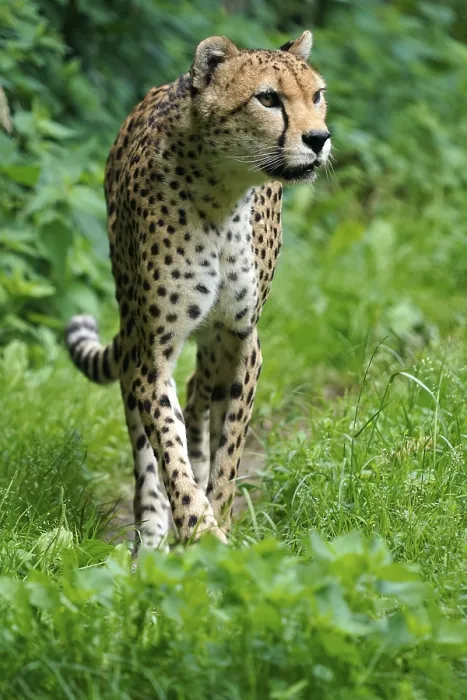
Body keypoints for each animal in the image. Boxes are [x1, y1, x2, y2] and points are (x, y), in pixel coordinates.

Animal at [65, 30, 331, 553]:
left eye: (316, 96)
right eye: (268, 98)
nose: (319, 139)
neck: (222, 195)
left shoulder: (241, 338)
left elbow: (227, 449)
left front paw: (218, 523)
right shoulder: (152, 351)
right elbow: (168, 446)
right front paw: (197, 529)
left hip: (210, 341)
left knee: (196, 394)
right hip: (134, 326)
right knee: (146, 435)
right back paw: (151, 533)